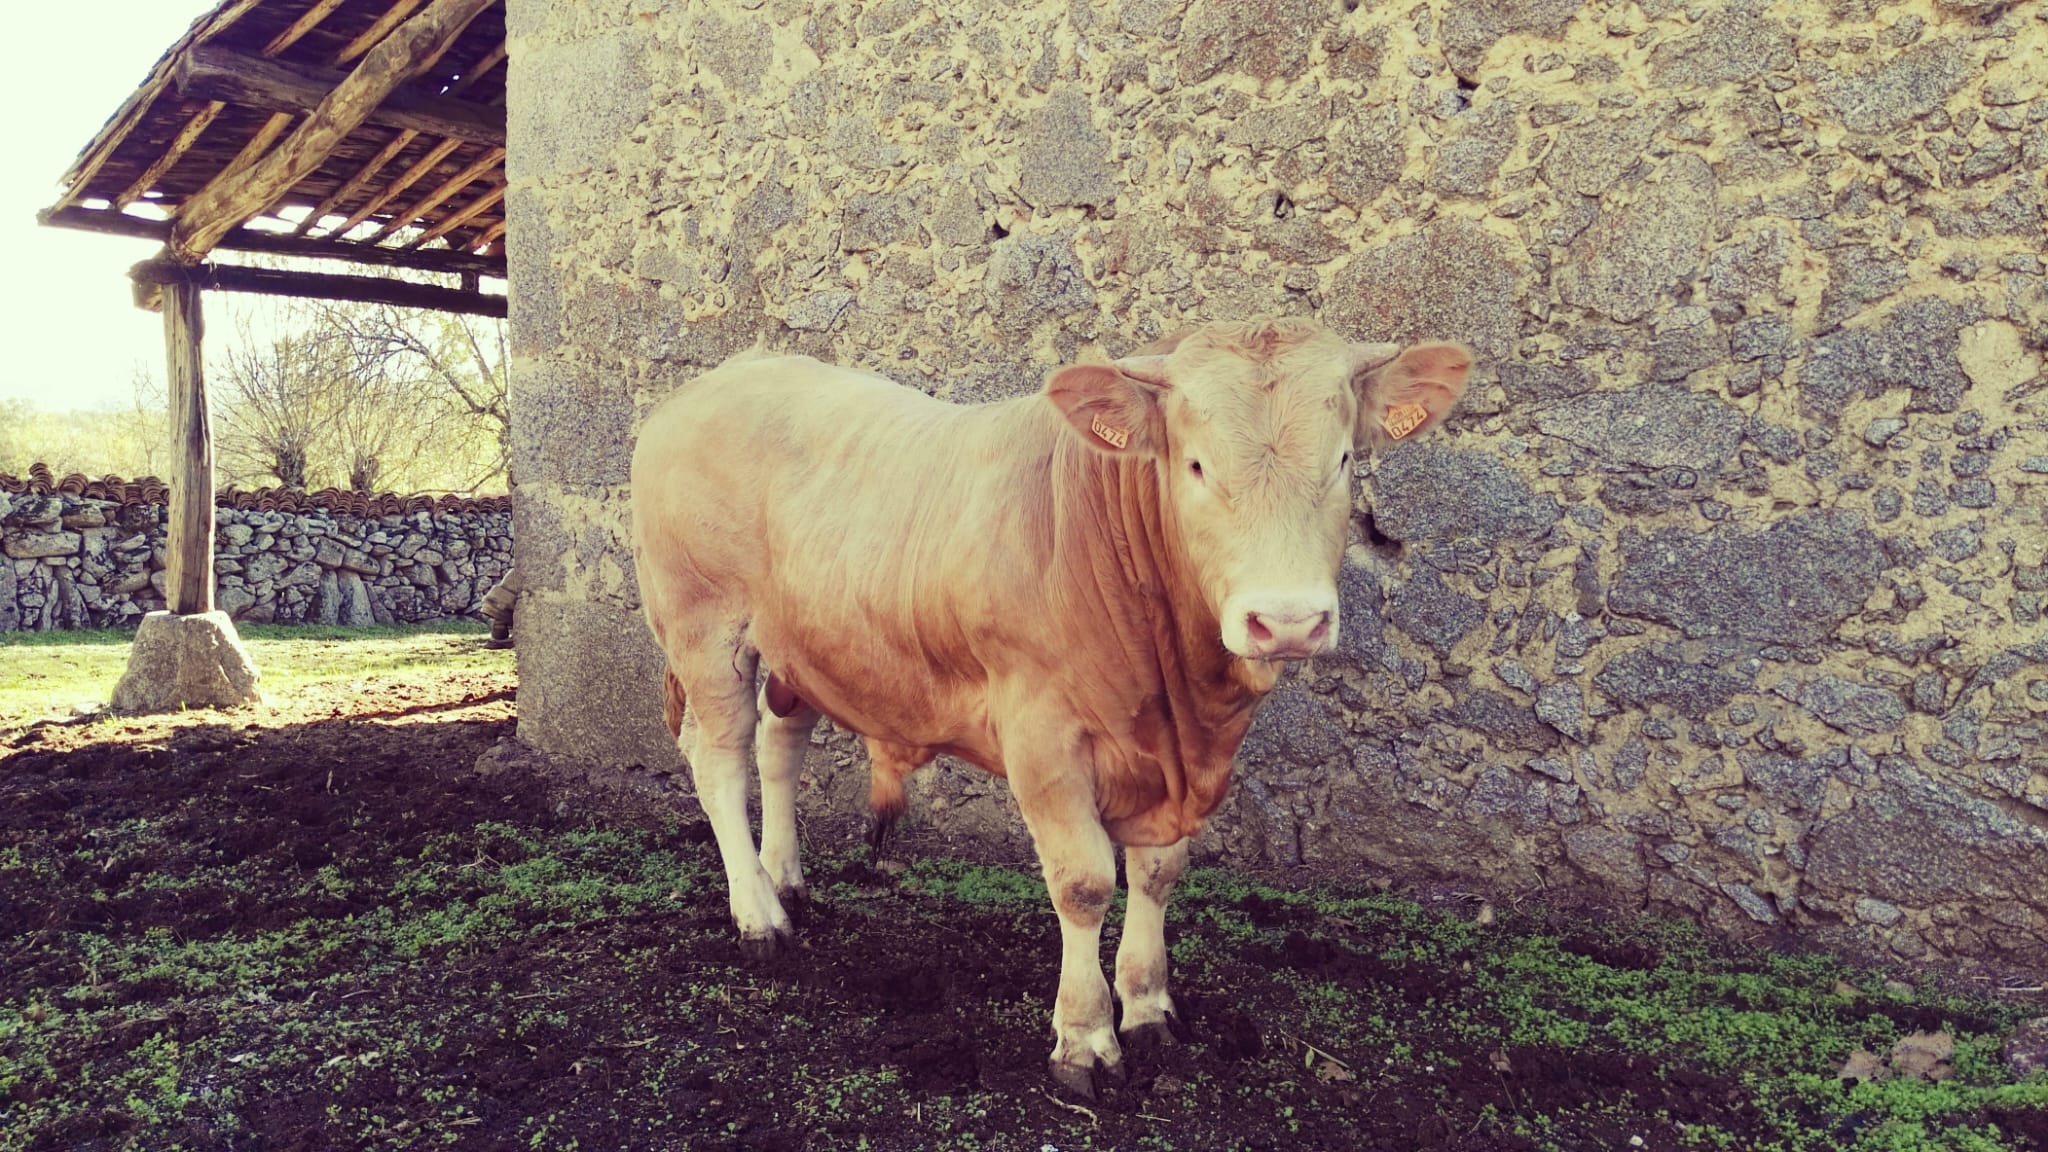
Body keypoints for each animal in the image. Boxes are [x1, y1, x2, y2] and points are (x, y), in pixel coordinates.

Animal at [630, 317, 1471, 1096]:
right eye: (1196, 464)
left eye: (1342, 461)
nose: (1288, 620)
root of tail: (720, 379)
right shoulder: (1043, 738)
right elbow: (1085, 882)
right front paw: (1086, 1039)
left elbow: (1158, 872)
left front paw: (1148, 1006)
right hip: (704, 629)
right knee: (719, 759)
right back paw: (758, 915)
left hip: (801, 644)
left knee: (780, 739)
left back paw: (783, 878)